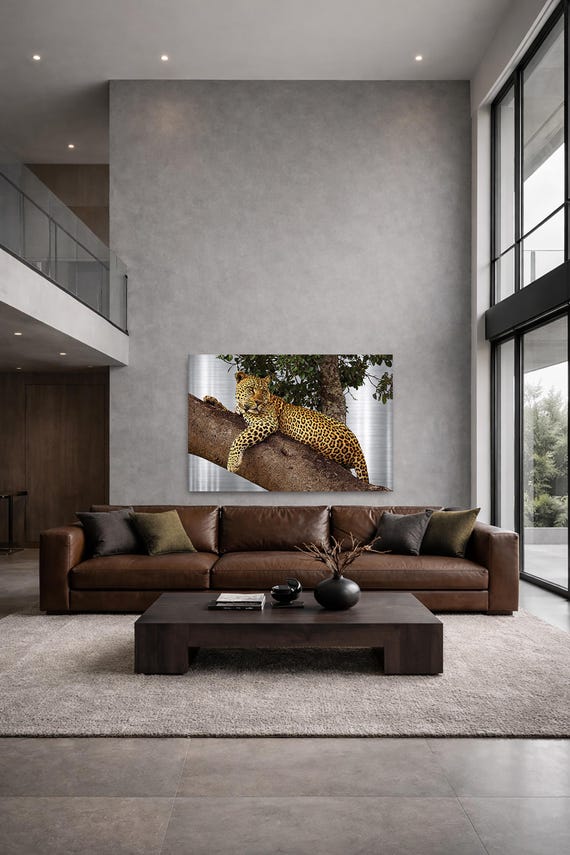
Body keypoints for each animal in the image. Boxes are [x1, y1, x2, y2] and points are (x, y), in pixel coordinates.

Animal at [204, 371, 369, 481]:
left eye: (264, 391)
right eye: (251, 389)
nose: (258, 402)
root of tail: (358, 448)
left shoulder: (266, 422)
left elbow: (240, 438)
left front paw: (232, 462)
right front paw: (211, 400)